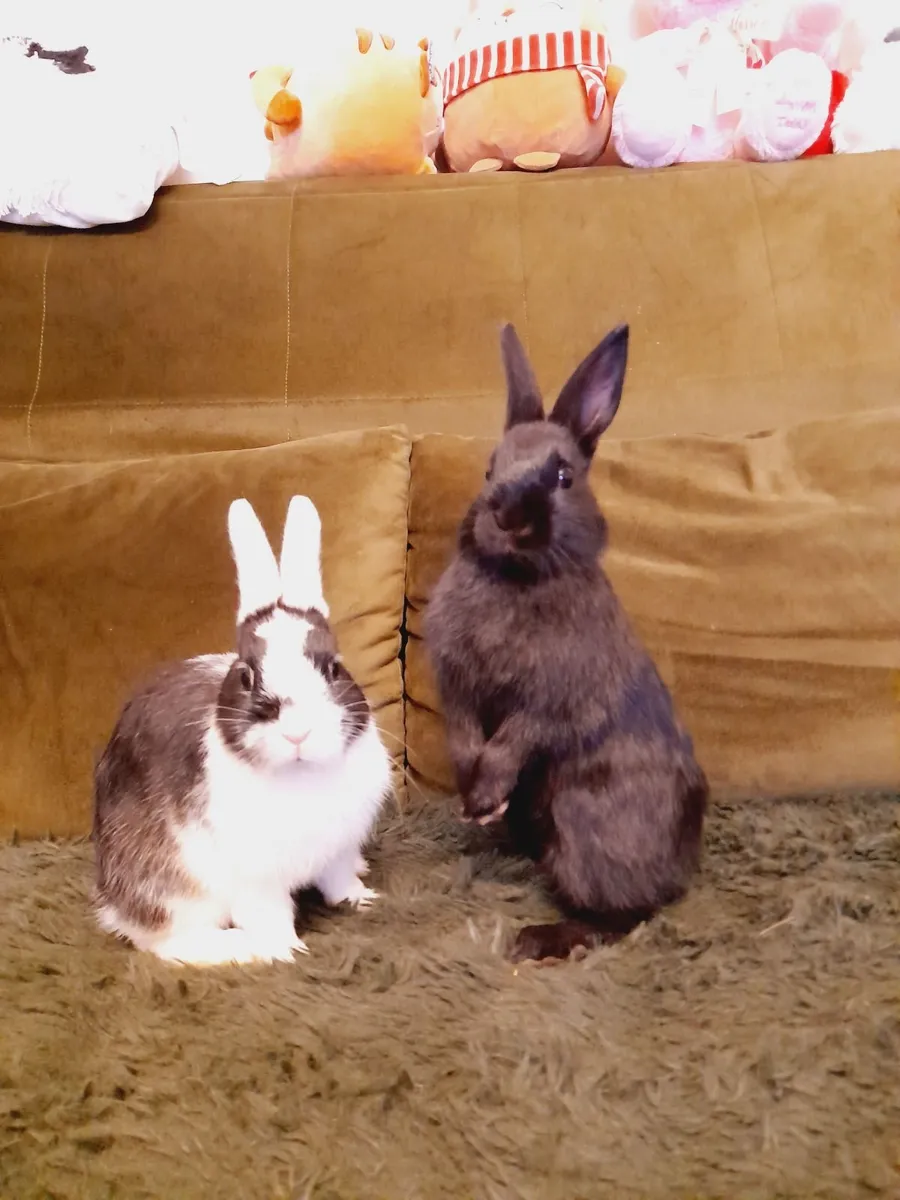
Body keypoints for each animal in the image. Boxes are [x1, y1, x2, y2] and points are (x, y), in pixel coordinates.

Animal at [91, 494, 392, 967]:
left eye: (333, 668)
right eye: (247, 675)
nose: (297, 733)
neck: (301, 776)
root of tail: (110, 899)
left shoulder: (338, 850)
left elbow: (339, 880)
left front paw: (362, 899)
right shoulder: (255, 880)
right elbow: (270, 916)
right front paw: (286, 950)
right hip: (174, 887)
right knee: (166, 941)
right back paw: (236, 947)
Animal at [423, 323, 708, 965]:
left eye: (562, 476)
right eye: (489, 469)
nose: (506, 515)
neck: (516, 578)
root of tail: (680, 868)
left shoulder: (556, 699)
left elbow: (516, 738)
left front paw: (484, 797)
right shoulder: (458, 685)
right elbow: (464, 734)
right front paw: (471, 794)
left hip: (583, 821)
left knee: (625, 916)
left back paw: (538, 940)